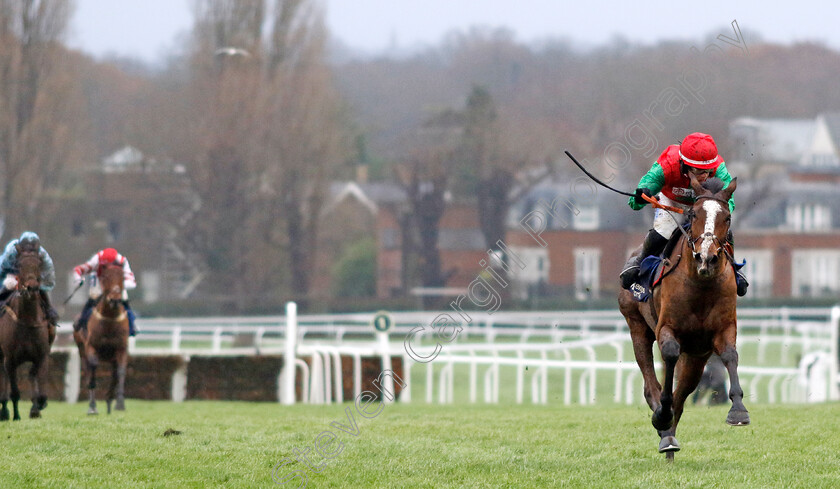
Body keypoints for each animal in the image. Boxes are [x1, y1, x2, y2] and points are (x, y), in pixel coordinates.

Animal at [0, 248, 55, 420]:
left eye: (38, 264)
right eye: (19, 266)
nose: (31, 287)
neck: (28, 320)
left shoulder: (42, 356)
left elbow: (40, 388)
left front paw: (38, 406)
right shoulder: (10, 359)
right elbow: (15, 391)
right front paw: (16, 415)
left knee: (30, 375)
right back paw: (4, 411)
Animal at [73, 264, 128, 412]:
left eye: (122, 276)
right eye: (105, 277)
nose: (114, 299)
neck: (109, 320)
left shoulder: (121, 349)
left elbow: (120, 372)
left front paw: (119, 403)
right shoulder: (91, 347)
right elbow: (93, 369)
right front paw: (93, 405)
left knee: (114, 374)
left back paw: (109, 399)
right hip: (82, 351)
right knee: (88, 372)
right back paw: (92, 405)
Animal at [616, 174, 748, 458]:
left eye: (727, 218)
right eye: (694, 213)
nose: (707, 258)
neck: (701, 283)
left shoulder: (721, 331)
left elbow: (730, 355)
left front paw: (738, 411)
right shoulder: (667, 328)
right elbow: (669, 354)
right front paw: (661, 415)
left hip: (697, 355)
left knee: (683, 390)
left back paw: (668, 437)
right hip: (637, 326)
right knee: (650, 383)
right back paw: (663, 423)